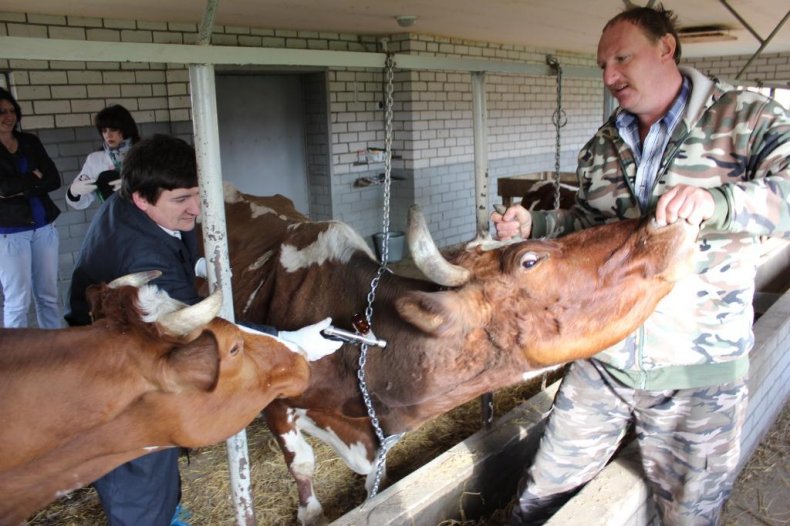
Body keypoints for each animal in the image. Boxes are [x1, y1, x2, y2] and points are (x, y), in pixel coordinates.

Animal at [217, 184, 700, 524]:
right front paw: (311, 512)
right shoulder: (272, 402)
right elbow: (301, 463)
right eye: (530, 260)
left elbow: (374, 481)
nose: (664, 217)